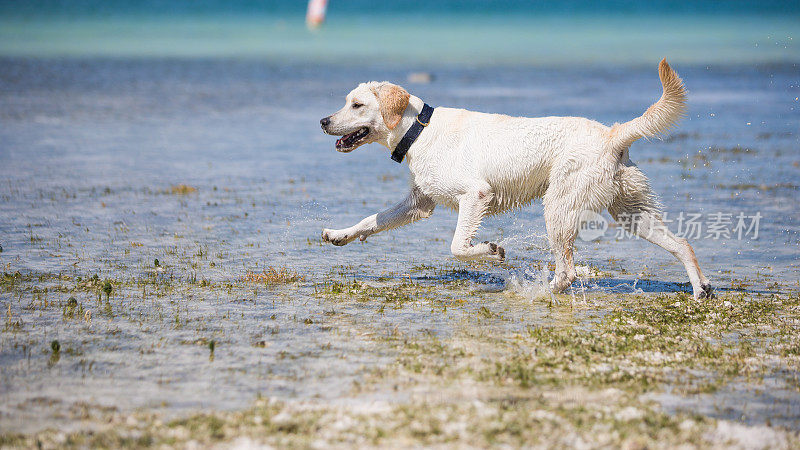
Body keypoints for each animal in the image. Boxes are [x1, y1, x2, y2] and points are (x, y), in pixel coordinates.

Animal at [318, 59, 712, 298]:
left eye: (357, 105)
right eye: (346, 102)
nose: (323, 121)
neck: (419, 129)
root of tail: (613, 134)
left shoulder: (475, 194)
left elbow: (458, 246)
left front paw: (491, 251)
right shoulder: (419, 203)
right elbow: (371, 220)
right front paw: (339, 235)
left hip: (558, 207)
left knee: (567, 271)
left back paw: (540, 292)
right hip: (631, 212)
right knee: (683, 244)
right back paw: (701, 289)